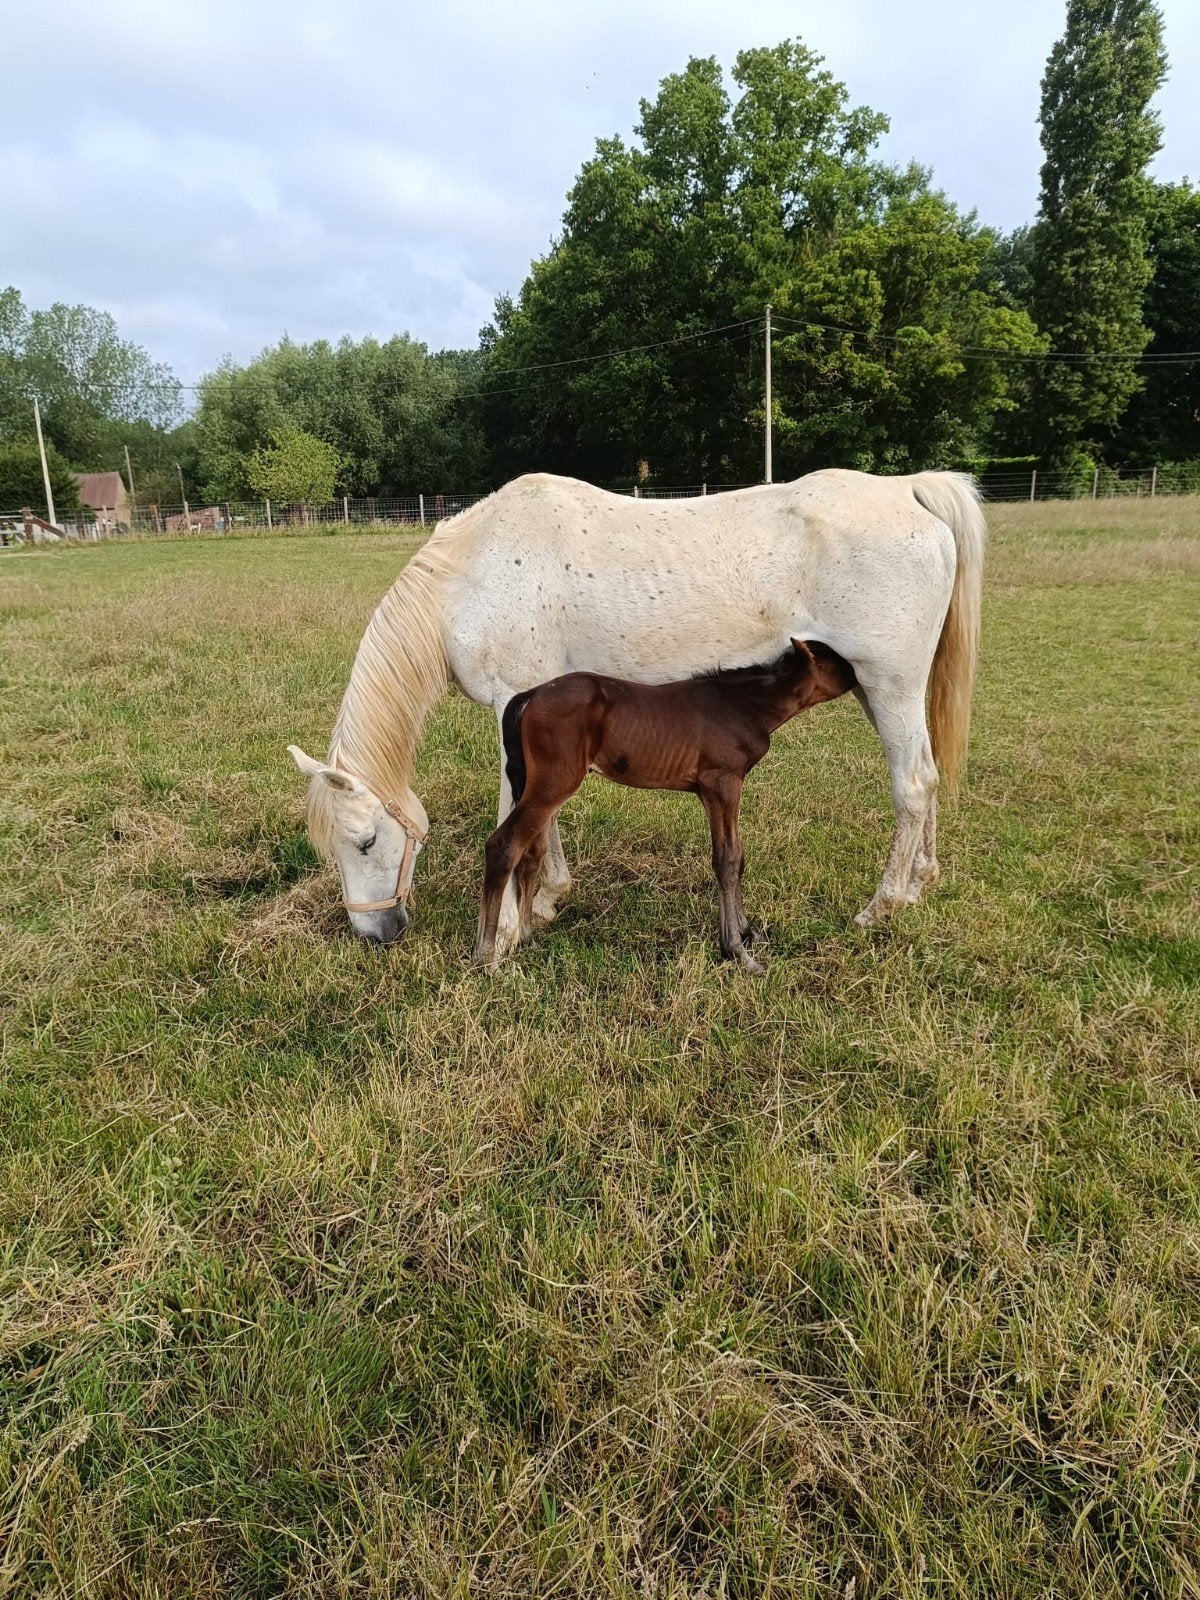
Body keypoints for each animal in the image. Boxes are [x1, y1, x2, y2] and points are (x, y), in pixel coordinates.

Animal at [475, 639, 857, 972]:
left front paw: (747, 934)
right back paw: (487, 956)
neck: (745, 704)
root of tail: (530, 695)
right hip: (554, 783)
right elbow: (727, 860)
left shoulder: (712, 790)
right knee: (504, 844)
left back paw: (525, 935)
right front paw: (736, 951)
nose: (859, 674)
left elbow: (737, 857)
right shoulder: (722, 784)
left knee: (531, 850)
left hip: (542, 785)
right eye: (837, 661)